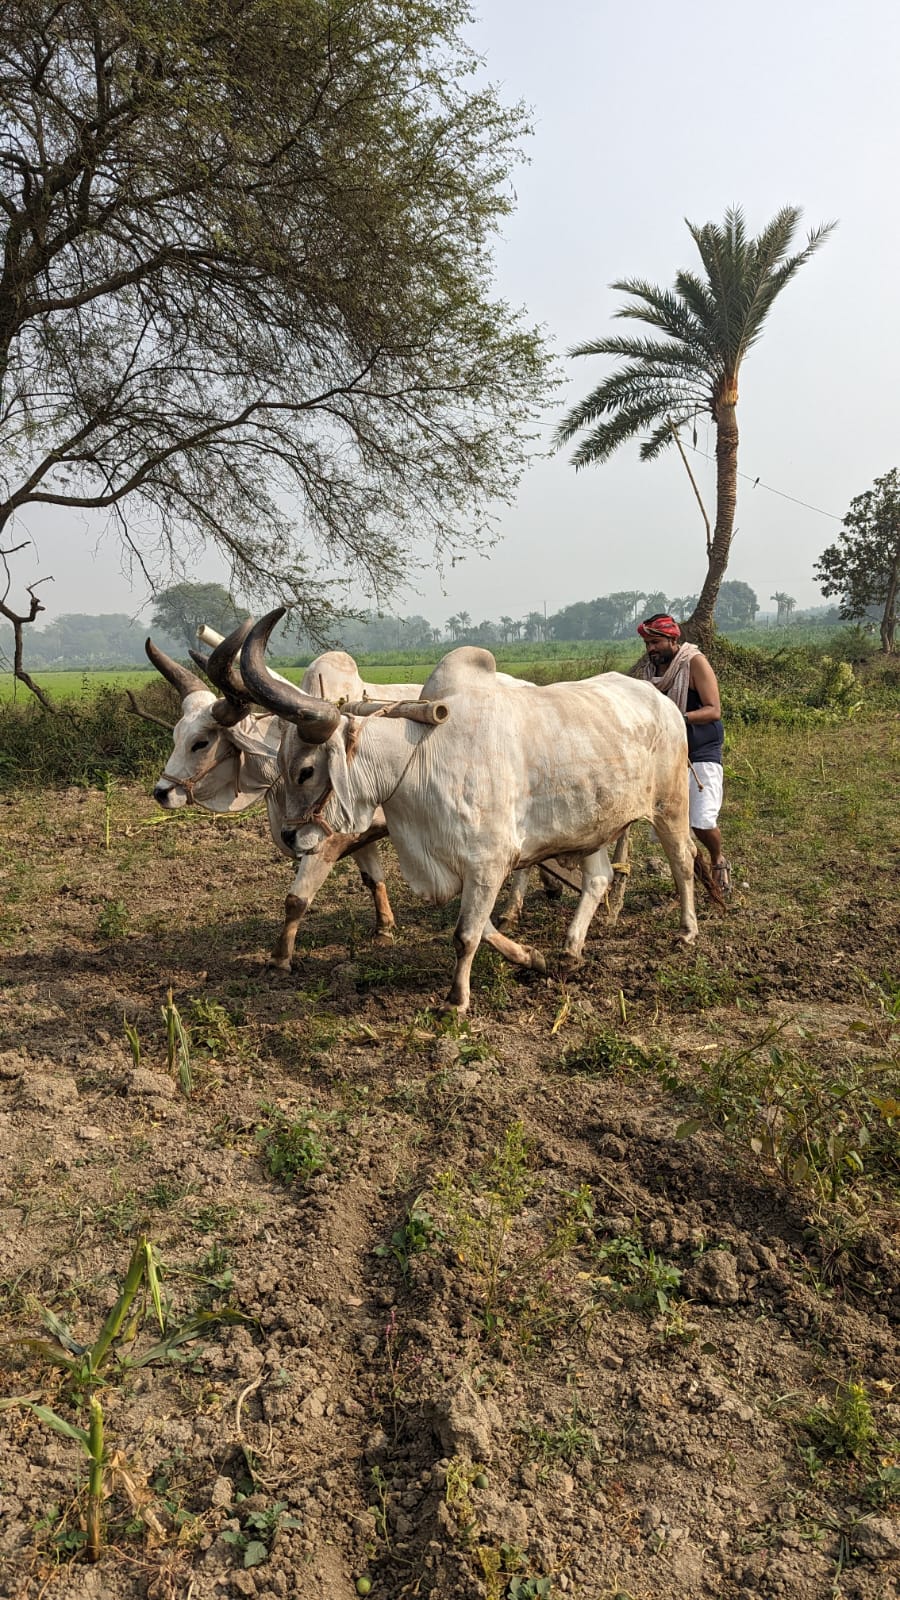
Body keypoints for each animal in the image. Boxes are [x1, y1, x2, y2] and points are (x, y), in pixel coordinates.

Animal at [145, 623, 419, 966]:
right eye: (176, 736)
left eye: (201, 743)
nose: (162, 792)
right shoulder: (358, 833)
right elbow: (373, 879)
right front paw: (384, 930)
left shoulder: (326, 839)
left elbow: (296, 899)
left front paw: (280, 958)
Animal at [240, 611, 699, 1012]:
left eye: (306, 770)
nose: (288, 837)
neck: (421, 758)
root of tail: (661, 701)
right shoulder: (462, 868)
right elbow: (482, 928)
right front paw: (531, 957)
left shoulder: (488, 863)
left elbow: (465, 935)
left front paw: (456, 1001)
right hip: (591, 826)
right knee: (600, 879)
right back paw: (569, 952)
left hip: (670, 805)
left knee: (683, 861)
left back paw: (687, 930)